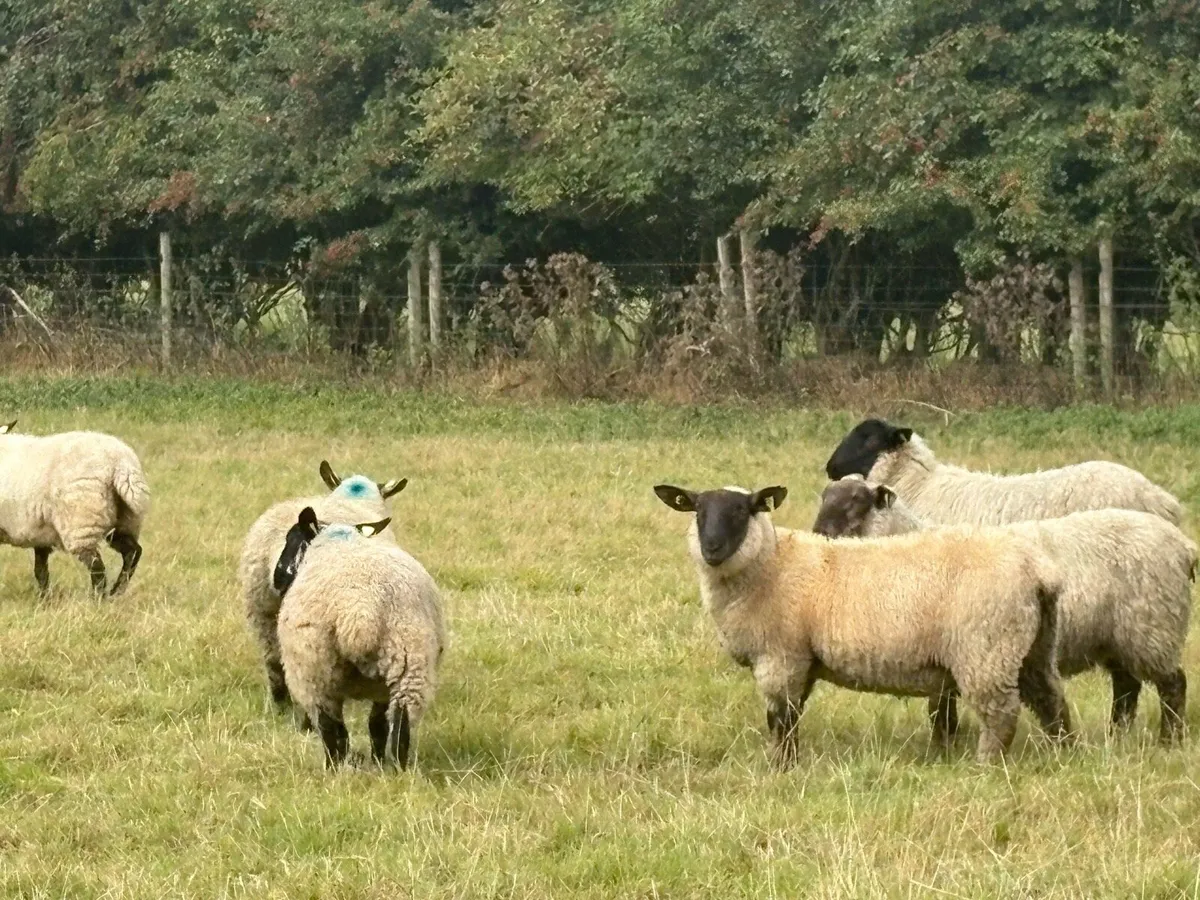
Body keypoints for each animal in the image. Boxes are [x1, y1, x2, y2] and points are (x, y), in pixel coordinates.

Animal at [0, 420, 150, 595]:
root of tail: (122, 465)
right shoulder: (41, 534)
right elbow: (41, 571)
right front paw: (45, 598)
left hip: (82, 523)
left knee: (98, 569)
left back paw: (98, 598)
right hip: (124, 520)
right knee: (132, 552)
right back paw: (116, 592)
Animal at [273, 506, 445, 770]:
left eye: (291, 538)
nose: (277, 579)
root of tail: (360, 611)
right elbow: (378, 726)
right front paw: (377, 761)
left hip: (314, 668)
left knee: (332, 730)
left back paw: (334, 769)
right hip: (409, 663)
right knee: (398, 728)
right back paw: (396, 770)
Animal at [654, 483, 1071, 765]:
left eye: (744, 511)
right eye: (697, 511)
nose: (712, 549)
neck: (771, 564)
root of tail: (1038, 571)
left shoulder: (780, 656)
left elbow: (781, 719)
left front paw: (781, 768)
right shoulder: (802, 660)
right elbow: (791, 716)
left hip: (985, 649)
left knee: (1001, 715)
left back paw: (986, 765)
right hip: (1032, 645)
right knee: (1051, 700)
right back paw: (1066, 753)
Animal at [812, 475, 1196, 743]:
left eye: (856, 502)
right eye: (824, 498)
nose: (819, 533)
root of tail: (1185, 547)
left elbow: (940, 709)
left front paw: (942, 747)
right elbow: (942, 706)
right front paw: (944, 746)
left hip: (1153, 626)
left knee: (1173, 684)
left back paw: (1169, 740)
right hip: (1120, 638)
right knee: (1127, 687)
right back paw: (1118, 735)